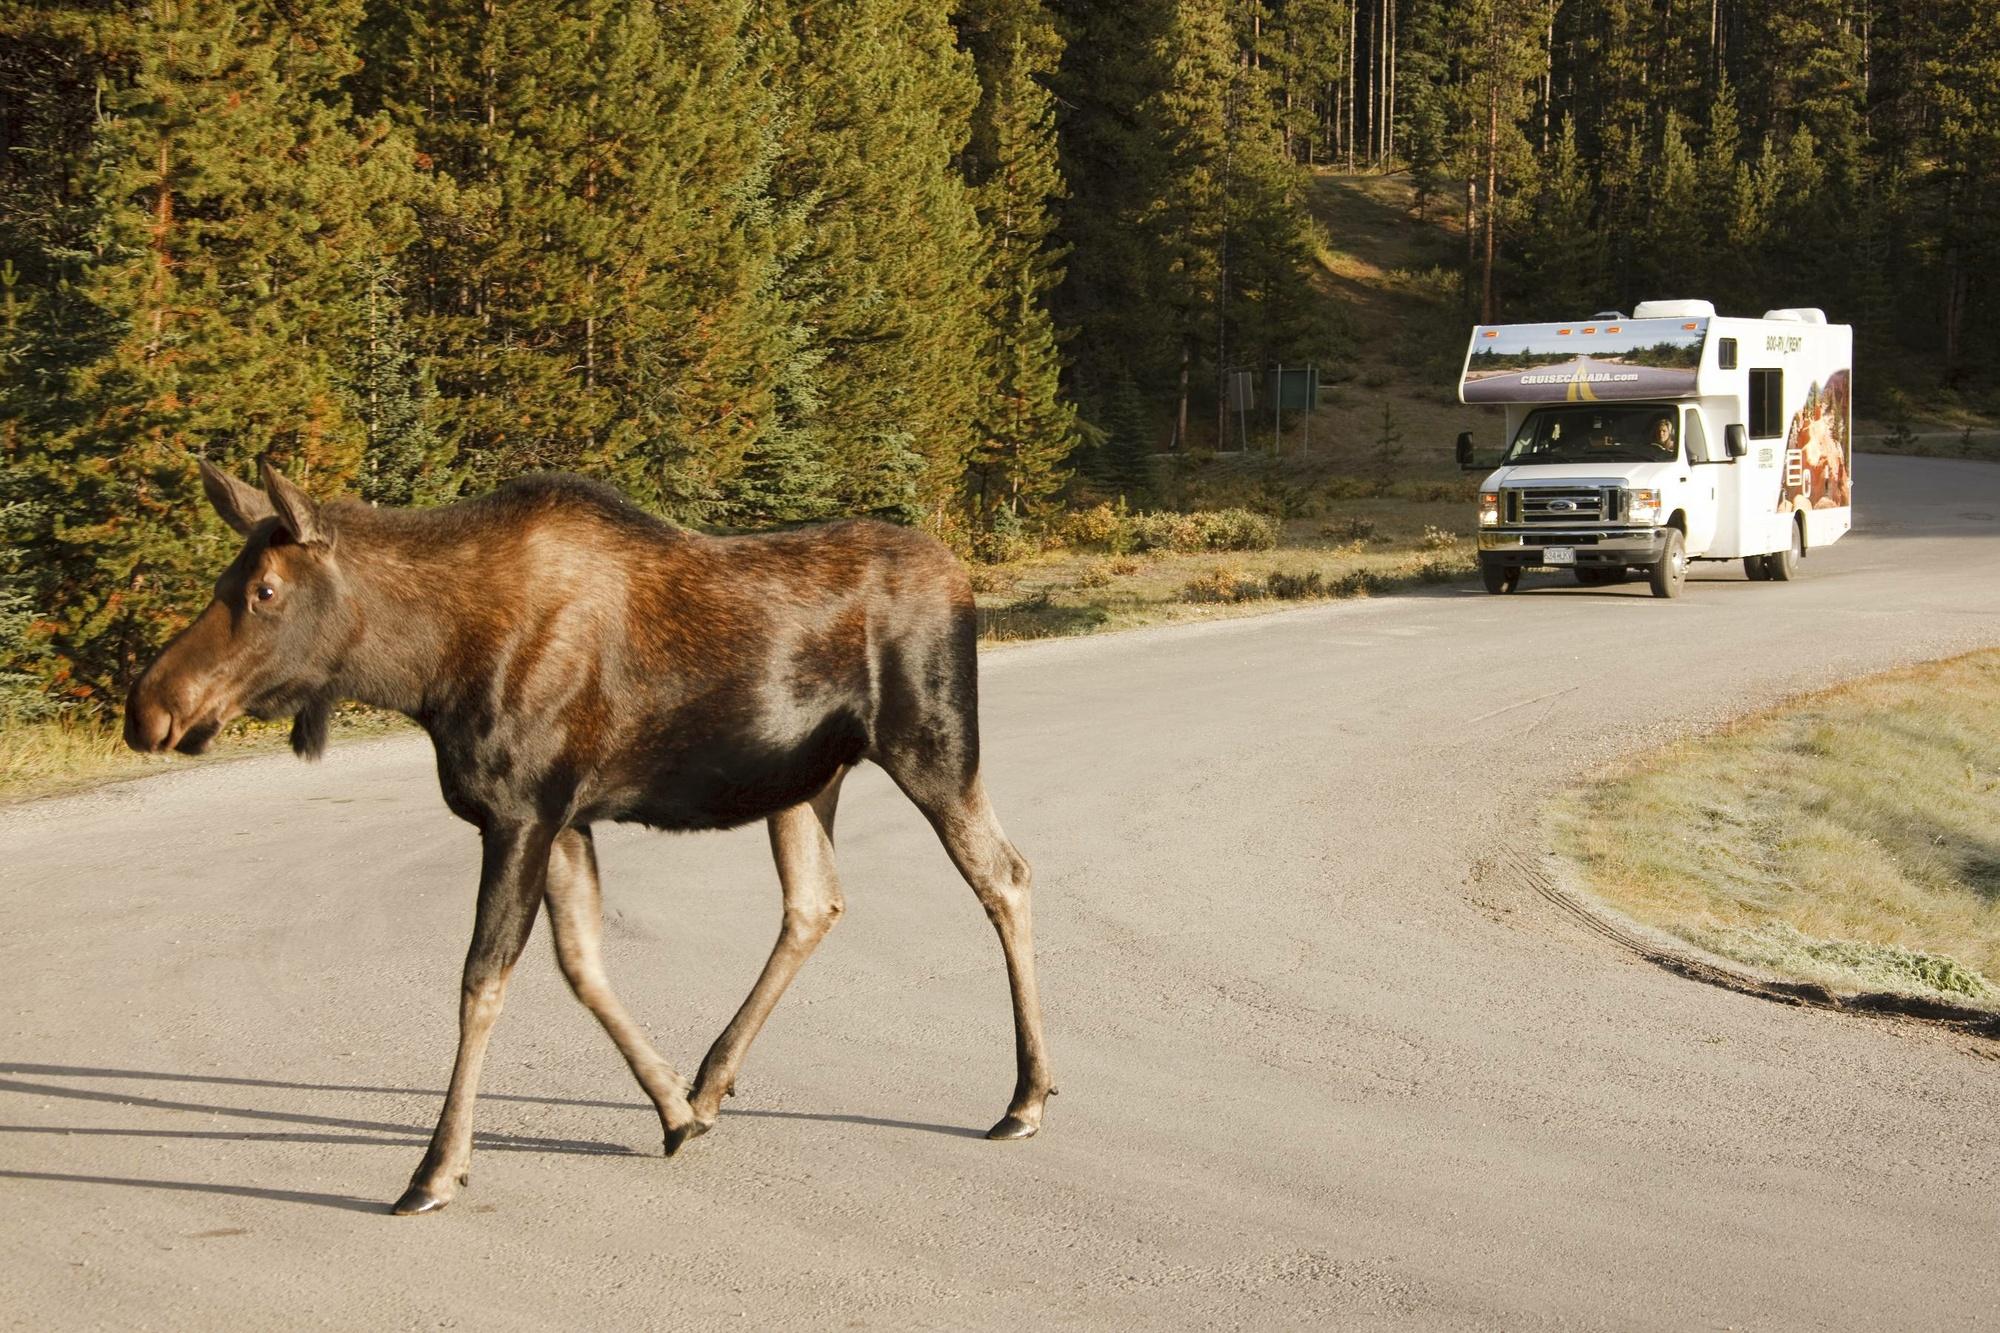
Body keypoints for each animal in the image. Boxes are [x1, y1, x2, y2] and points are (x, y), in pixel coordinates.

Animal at [125, 464, 1056, 1216]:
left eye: (264, 590)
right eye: (226, 576)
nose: (150, 707)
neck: (424, 669)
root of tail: (963, 577)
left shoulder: (522, 811)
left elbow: (483, 979)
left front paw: (436, 1168)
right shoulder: (566, 817)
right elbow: (582, 964)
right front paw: (673, 1110)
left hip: (932, 741)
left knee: (1004, 874)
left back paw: (1025, 1097)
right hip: (804, 780)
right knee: (814, 902)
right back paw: (711, 1081)